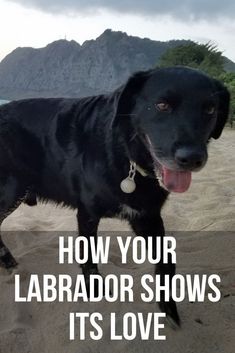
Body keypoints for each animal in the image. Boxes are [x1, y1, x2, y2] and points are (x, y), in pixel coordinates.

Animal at [0, 66, 229, 324]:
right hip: (11, 191)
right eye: (162, 105)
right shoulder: (87, 214)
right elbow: (89, 257)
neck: (126, 154)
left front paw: (169, 307)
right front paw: (94, 291)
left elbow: (167, 263)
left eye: (210, 109)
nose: (192, 158)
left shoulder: (148, 216)